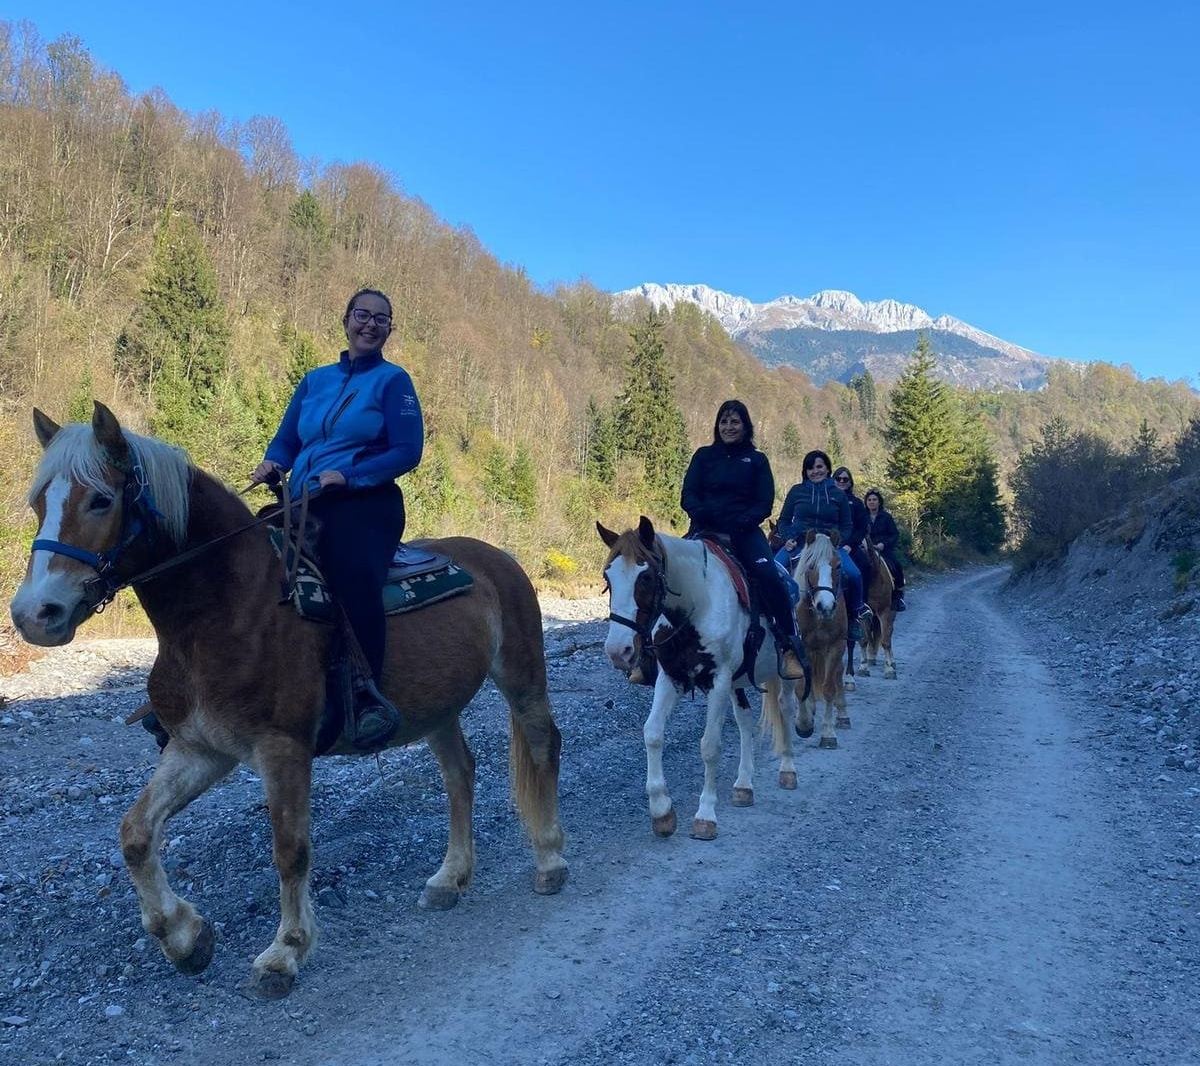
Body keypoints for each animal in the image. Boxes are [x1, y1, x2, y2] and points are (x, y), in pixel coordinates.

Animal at [9, 403, 568, 1003]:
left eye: (100, 500)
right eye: (39, 502)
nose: (33, 614)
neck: (228, 611)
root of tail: (498, 558)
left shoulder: (283, 750)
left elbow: (290, 850)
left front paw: (285, 952)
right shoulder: (200, 749)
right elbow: (135, 835)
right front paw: (185, 938)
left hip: (522, 677)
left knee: (543, 746)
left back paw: (549, 858)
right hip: (437, 707)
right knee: (460, 774)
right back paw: (450, 878)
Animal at [595, 518, 801, 840]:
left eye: (646, 577)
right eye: (608, 577)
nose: (618, 651)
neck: (697, 604)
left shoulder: (718, 681)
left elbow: (710, 746)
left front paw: (705, 815)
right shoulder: (671, 678)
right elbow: (652, 733)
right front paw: (661, 811)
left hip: (779, 676)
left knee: (786, 707)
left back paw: (788, 770)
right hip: (737, 684)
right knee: (745, 722)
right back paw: (744, 785)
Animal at [763, 530, 849, 768]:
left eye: (838, 565)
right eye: (810, 566)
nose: (826, 606)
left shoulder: (836, 647)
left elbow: (828, 688)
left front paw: (828, 734)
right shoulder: (802, 651)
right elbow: (802, 689)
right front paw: (803, 724)